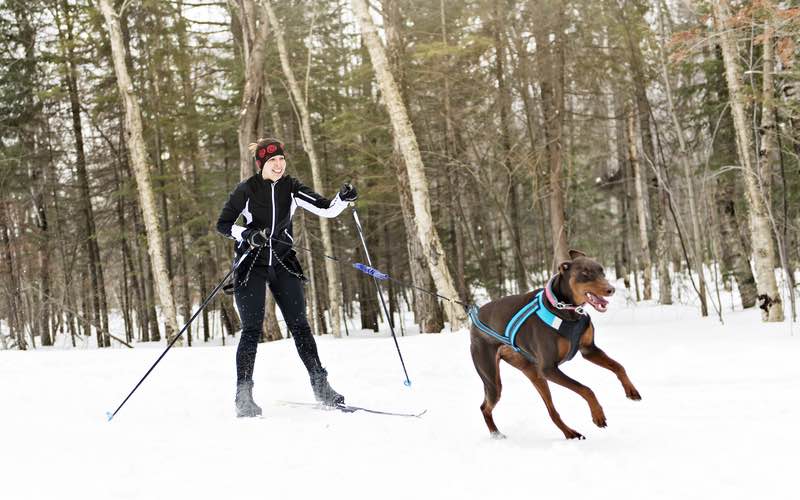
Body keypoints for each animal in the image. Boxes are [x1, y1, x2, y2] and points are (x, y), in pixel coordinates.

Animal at [468, 250, 644, 438]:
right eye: (585, 273)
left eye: (602, 272)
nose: (610, 289)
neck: (567, 310)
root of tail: (474, 316)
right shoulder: (549, 369)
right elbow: (586, 389)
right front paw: (598, 415)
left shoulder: (589, 350)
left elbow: (619, 366)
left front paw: (631, 390)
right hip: (494, 379)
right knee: (484, 407)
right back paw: (496, 434)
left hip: (534, 373)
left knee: (551, 411)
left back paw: (570, 433)